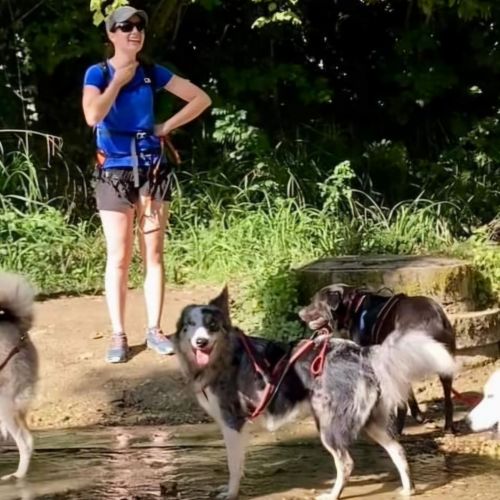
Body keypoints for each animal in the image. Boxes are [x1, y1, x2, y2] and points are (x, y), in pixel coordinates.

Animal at [298, 283, 456, 433]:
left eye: (315, 302)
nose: (299, 313)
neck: (353, 307)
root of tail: (431, 320)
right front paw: (418, 415)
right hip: (444, 365)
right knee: (448, 400)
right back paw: (448, 427)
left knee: (402, 404)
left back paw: (397, 429)